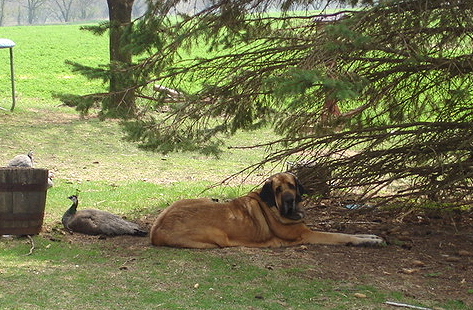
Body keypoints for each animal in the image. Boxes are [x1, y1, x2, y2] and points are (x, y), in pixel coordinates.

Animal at [151, 172, 384, 247]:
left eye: (291, 185)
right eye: (278, 190)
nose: (290, 200)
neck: (273, 208)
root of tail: (156, 230)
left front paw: (373, 236)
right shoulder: (308, 235)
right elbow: (341, 236)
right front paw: (368, 241)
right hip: (217, 236)